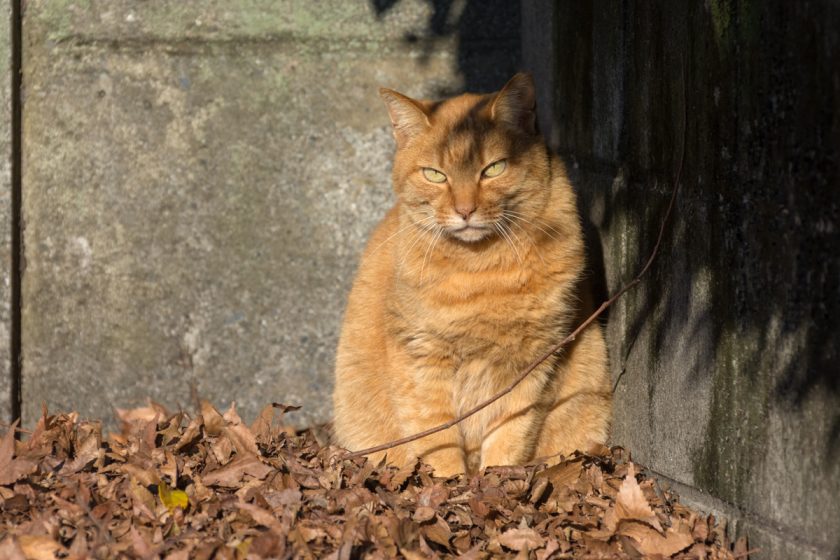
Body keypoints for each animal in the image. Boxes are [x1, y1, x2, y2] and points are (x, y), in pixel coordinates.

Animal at [334, 73, 612, 476]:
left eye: (492, 169)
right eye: (435, 175)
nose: (465, 210)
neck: (480, 272)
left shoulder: (535, 363)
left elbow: (510, 434)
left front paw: (497, 480)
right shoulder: (421, 359)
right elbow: (436, 439)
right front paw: (451, 486)